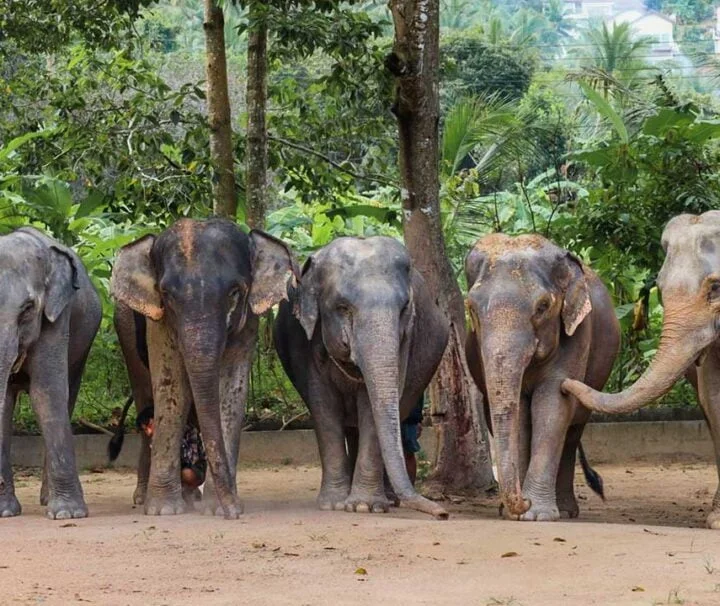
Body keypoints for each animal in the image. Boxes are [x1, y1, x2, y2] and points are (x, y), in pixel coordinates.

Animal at [0, 227, 101, 519]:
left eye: (28, 309)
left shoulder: (58, 316)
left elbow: (46, 393)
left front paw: (68, 514)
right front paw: (5, 512)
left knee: (67, 396)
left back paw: (47, 500)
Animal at [110, 218, 297, 518]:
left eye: (234, 293)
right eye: (166, 294)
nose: (235, 513)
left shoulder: (248, 321)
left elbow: (231, 389)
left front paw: (216, 508)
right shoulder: (158, 324)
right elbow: (172, 387)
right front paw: (163, 510)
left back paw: (191, 497)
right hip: (123, 321)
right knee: (144, 392)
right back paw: (143, 497)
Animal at [273, 236, 449, 519]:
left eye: (404, 308)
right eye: (343, 308)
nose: (443, 514)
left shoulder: (405, 343)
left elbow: (372, 406)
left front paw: (364, 506)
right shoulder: (307, 346)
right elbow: (323, 406)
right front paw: (333, 504)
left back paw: (388, 499)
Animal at [464, 233, 619, 521]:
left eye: (543, 306)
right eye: (471, 309)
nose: (522, 501)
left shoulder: (578, 333)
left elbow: (551, 405)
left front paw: (537, 514)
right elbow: (519, 412)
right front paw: (515, 512)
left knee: (573, 431)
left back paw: (567, 511)